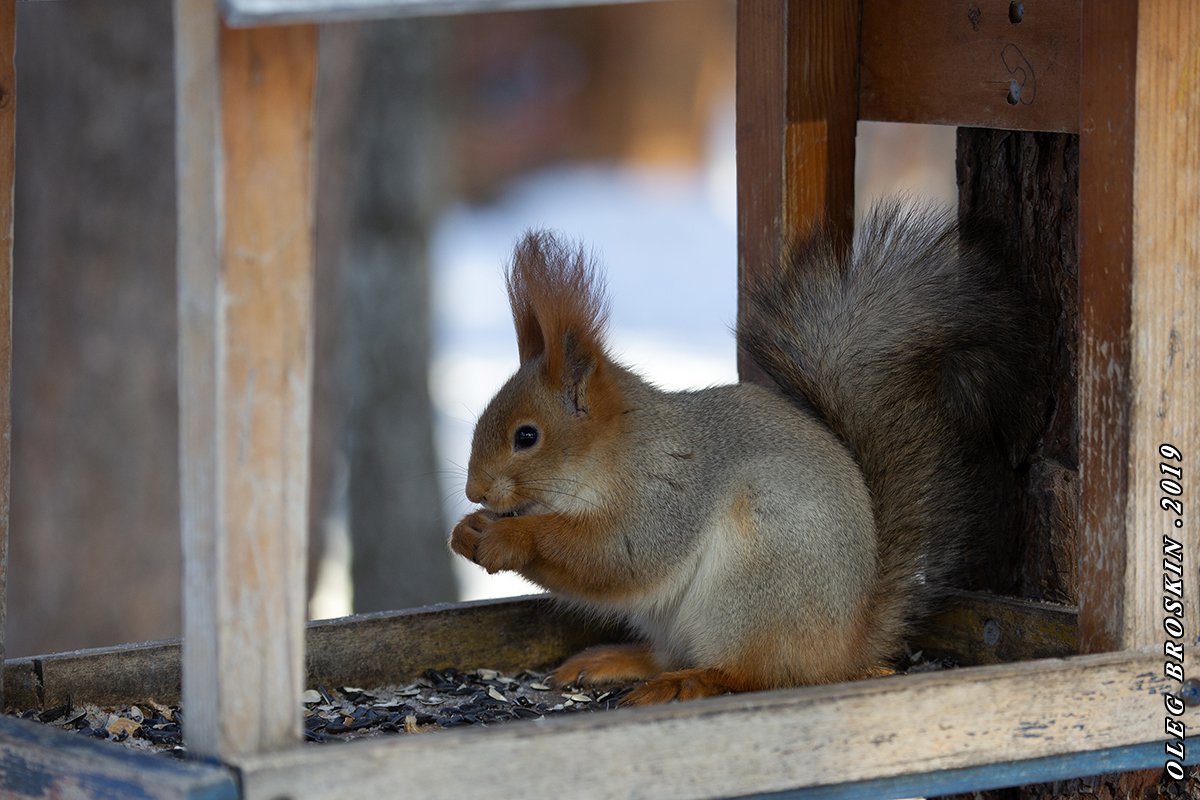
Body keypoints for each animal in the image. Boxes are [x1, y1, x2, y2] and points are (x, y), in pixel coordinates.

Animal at [451, 200, 1041, 705]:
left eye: (527, 436)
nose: (474, 491)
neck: (612, 456)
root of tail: (844, 646)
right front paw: (468, 530)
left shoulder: (669, 493)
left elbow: (619, 556)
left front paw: (509, 537)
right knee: (672, 654)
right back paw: (613, 662)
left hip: (753, 586)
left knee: (753, 672)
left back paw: (692, 681)